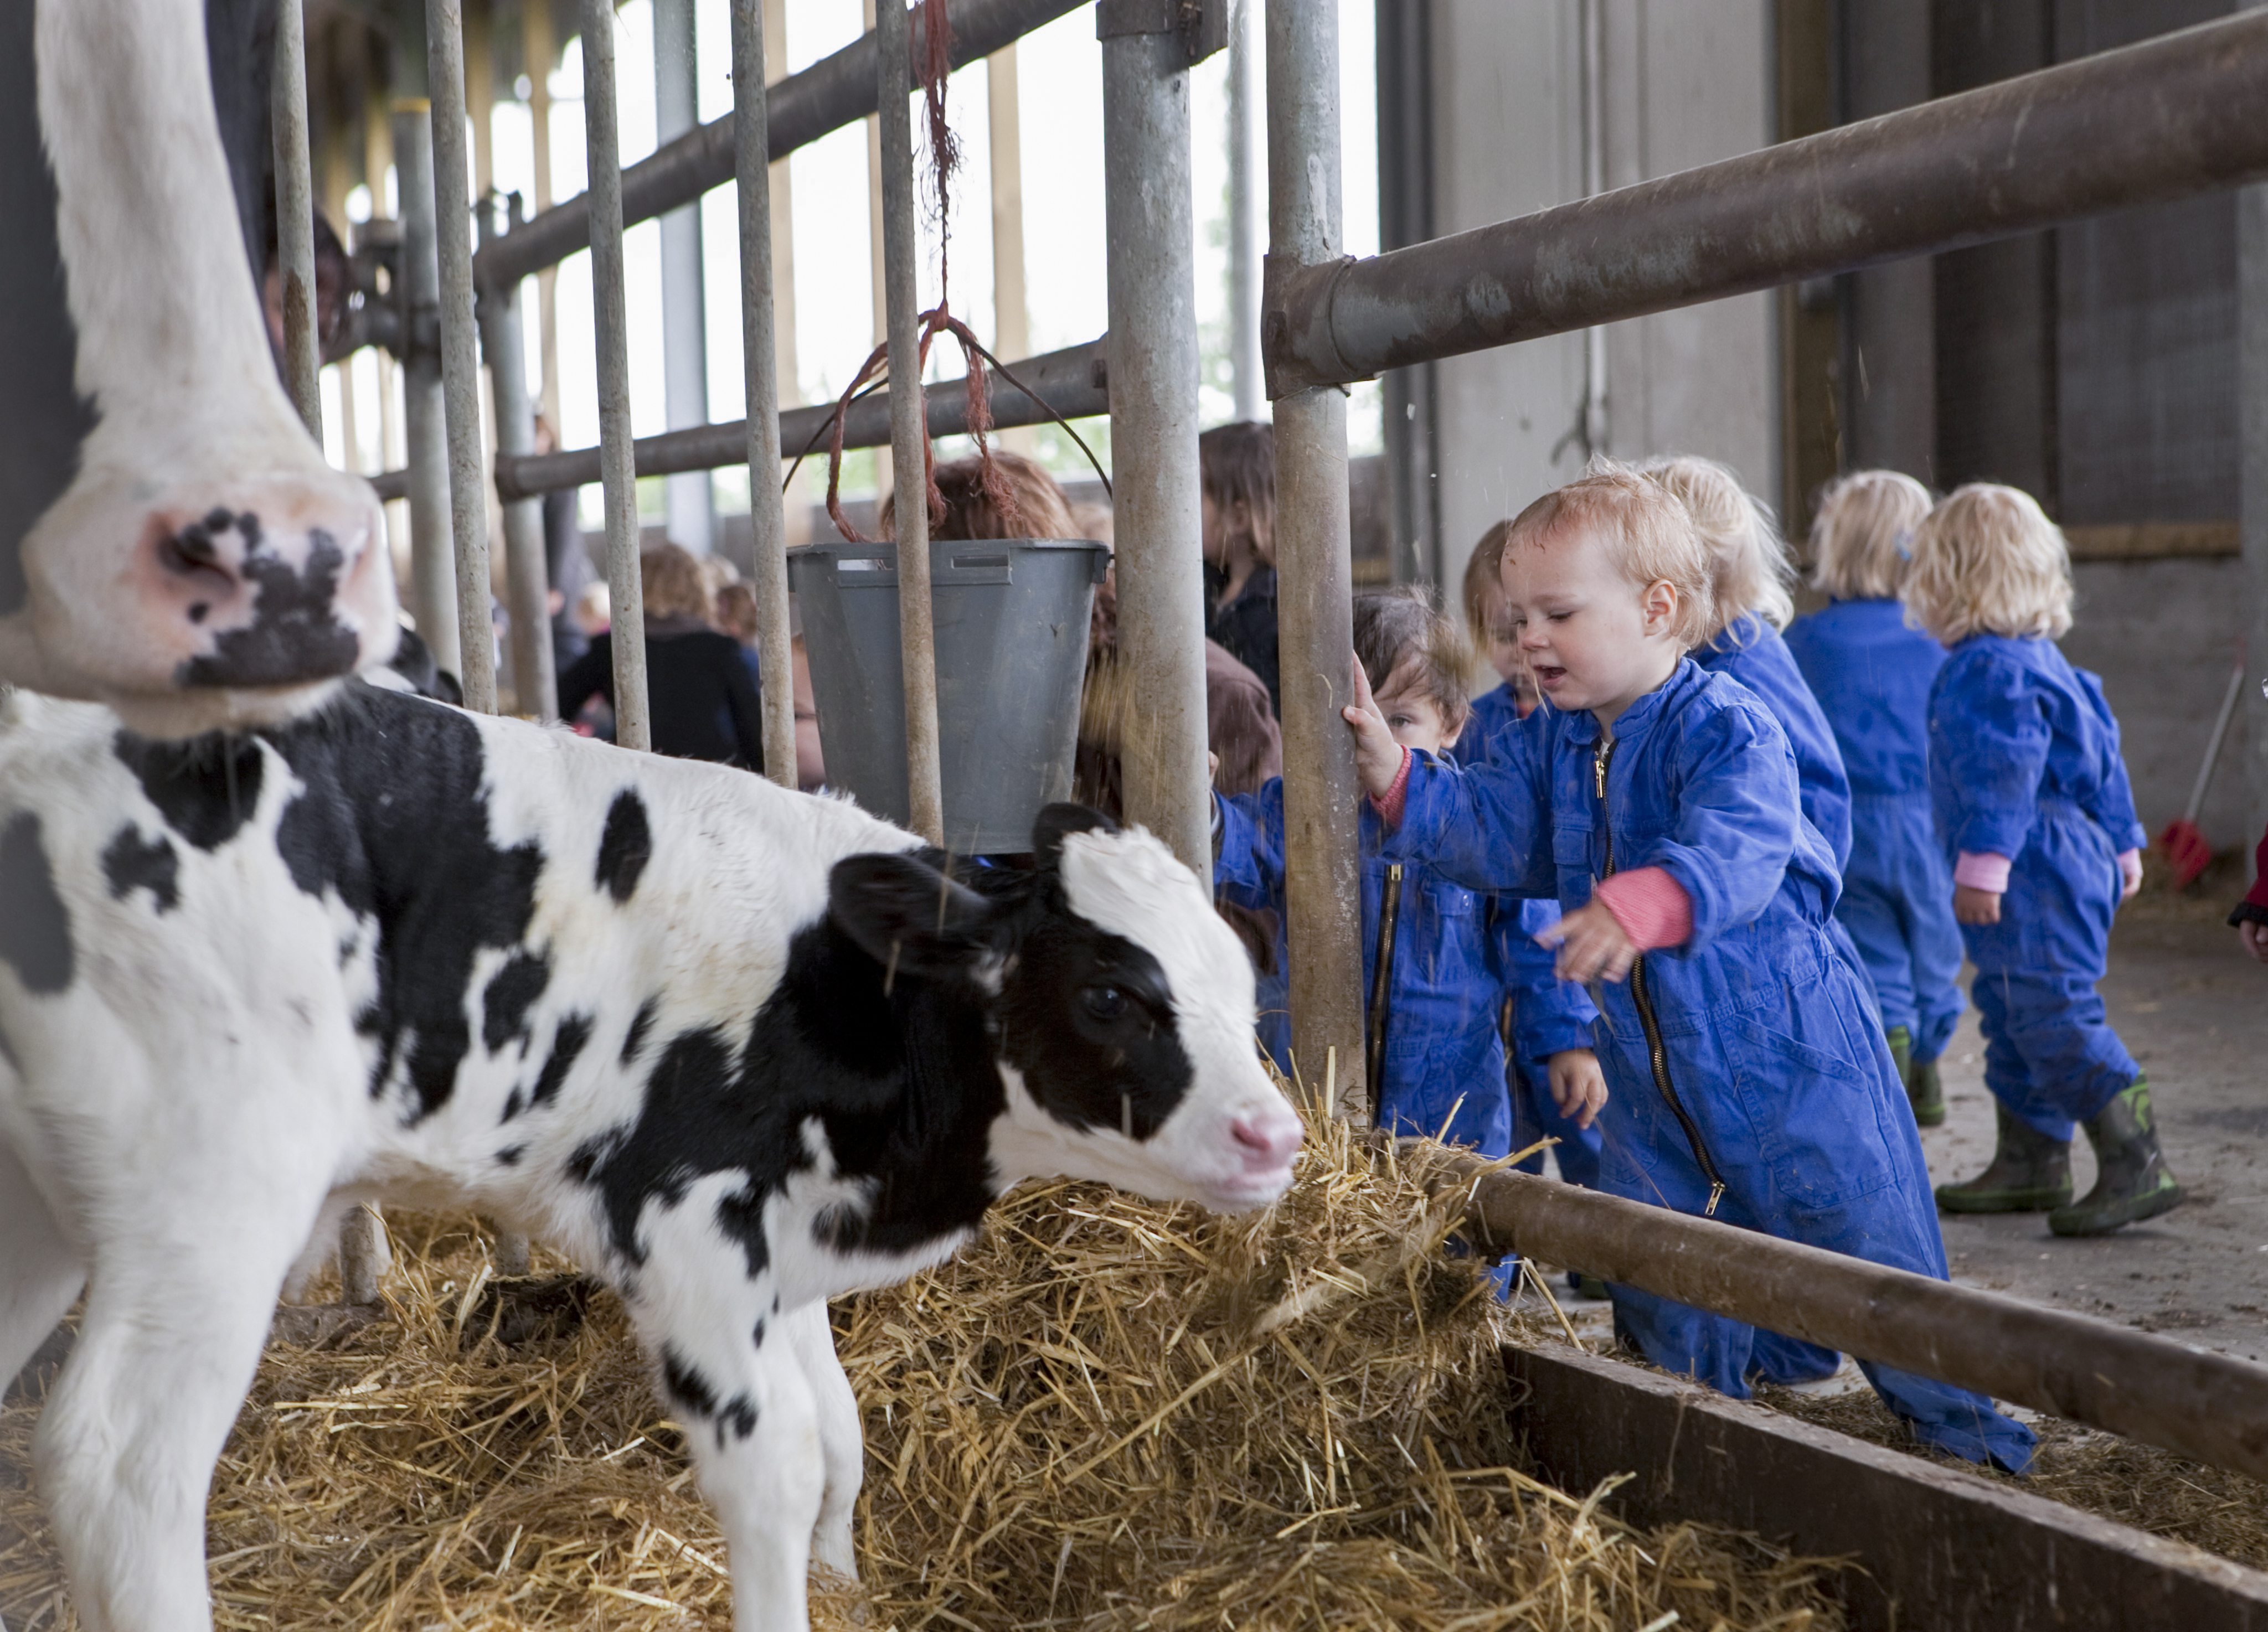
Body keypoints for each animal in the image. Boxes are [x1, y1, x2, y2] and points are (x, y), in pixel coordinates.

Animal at [0, 684, 1297, 1632]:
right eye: (1110, 993)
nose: (1275, 1134)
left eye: (1239, 980)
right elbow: (776, 1465)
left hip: (43, 1218)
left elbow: (840, 1435)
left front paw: (847, 1581)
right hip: (212, 1200)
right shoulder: (687, 1228)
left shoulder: (782, 1248)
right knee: (119, 1469)